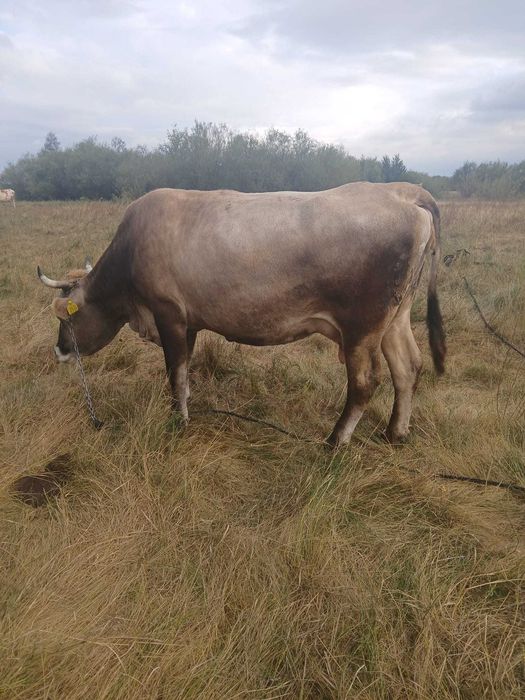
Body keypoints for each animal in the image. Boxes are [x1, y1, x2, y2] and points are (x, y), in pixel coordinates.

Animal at [37, 182, 445, 446]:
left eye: (65, 316)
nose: (59, 350)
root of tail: (401, 192)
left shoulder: (168, 314)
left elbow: (175, 373)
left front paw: (177, 420)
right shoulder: (189, 321)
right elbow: (184, 372)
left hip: (362, 327)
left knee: (364, 382)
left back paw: (334, 441)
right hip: (395, 318)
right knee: (408, 367)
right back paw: (395, 434)